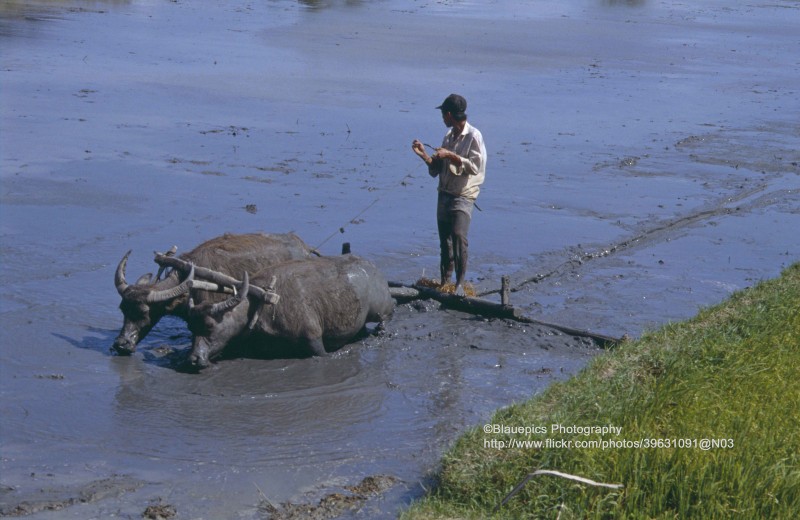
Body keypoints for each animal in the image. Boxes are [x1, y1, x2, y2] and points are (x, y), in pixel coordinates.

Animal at [188, 254, 400, 368]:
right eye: (191, 328)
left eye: (209, 326)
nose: (194, 358)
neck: (261, 303)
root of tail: (374, 269)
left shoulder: (314, 339)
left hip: (380, 309)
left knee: (390, 310)